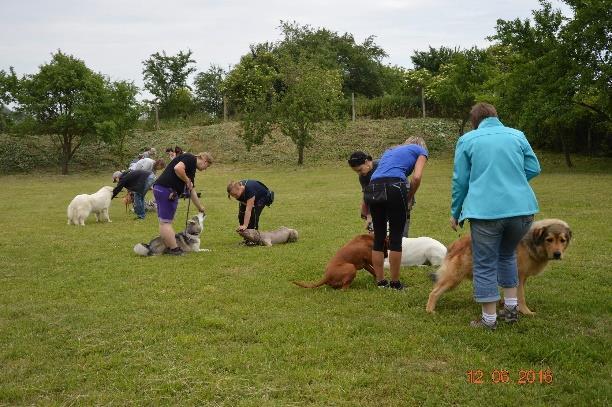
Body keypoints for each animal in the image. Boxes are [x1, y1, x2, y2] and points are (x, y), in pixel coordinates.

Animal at [426, 220, 572, 316]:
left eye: (562, 240)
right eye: (549, 239)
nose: (557, 254)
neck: (531, 243)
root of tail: (455, 244)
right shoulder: (518, 276)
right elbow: (521, 296)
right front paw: (526, 312)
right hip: (454, 278)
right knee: (434, 292)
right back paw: (430, 310)